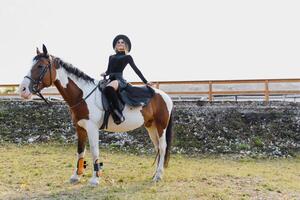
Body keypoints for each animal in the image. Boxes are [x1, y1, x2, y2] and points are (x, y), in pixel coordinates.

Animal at [18, 44, 173, 185]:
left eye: (40, 66)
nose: (23, 90)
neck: (82, 95)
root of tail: (165, 96)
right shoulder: (80, 128)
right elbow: (80, 151)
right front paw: (76, 176)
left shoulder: (92, 129)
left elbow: (94, 151)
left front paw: (95, 178)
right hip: (151, 127)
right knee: (158, 148)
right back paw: (155, 175)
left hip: (161, 127)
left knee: (162, 147)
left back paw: (158, 176)